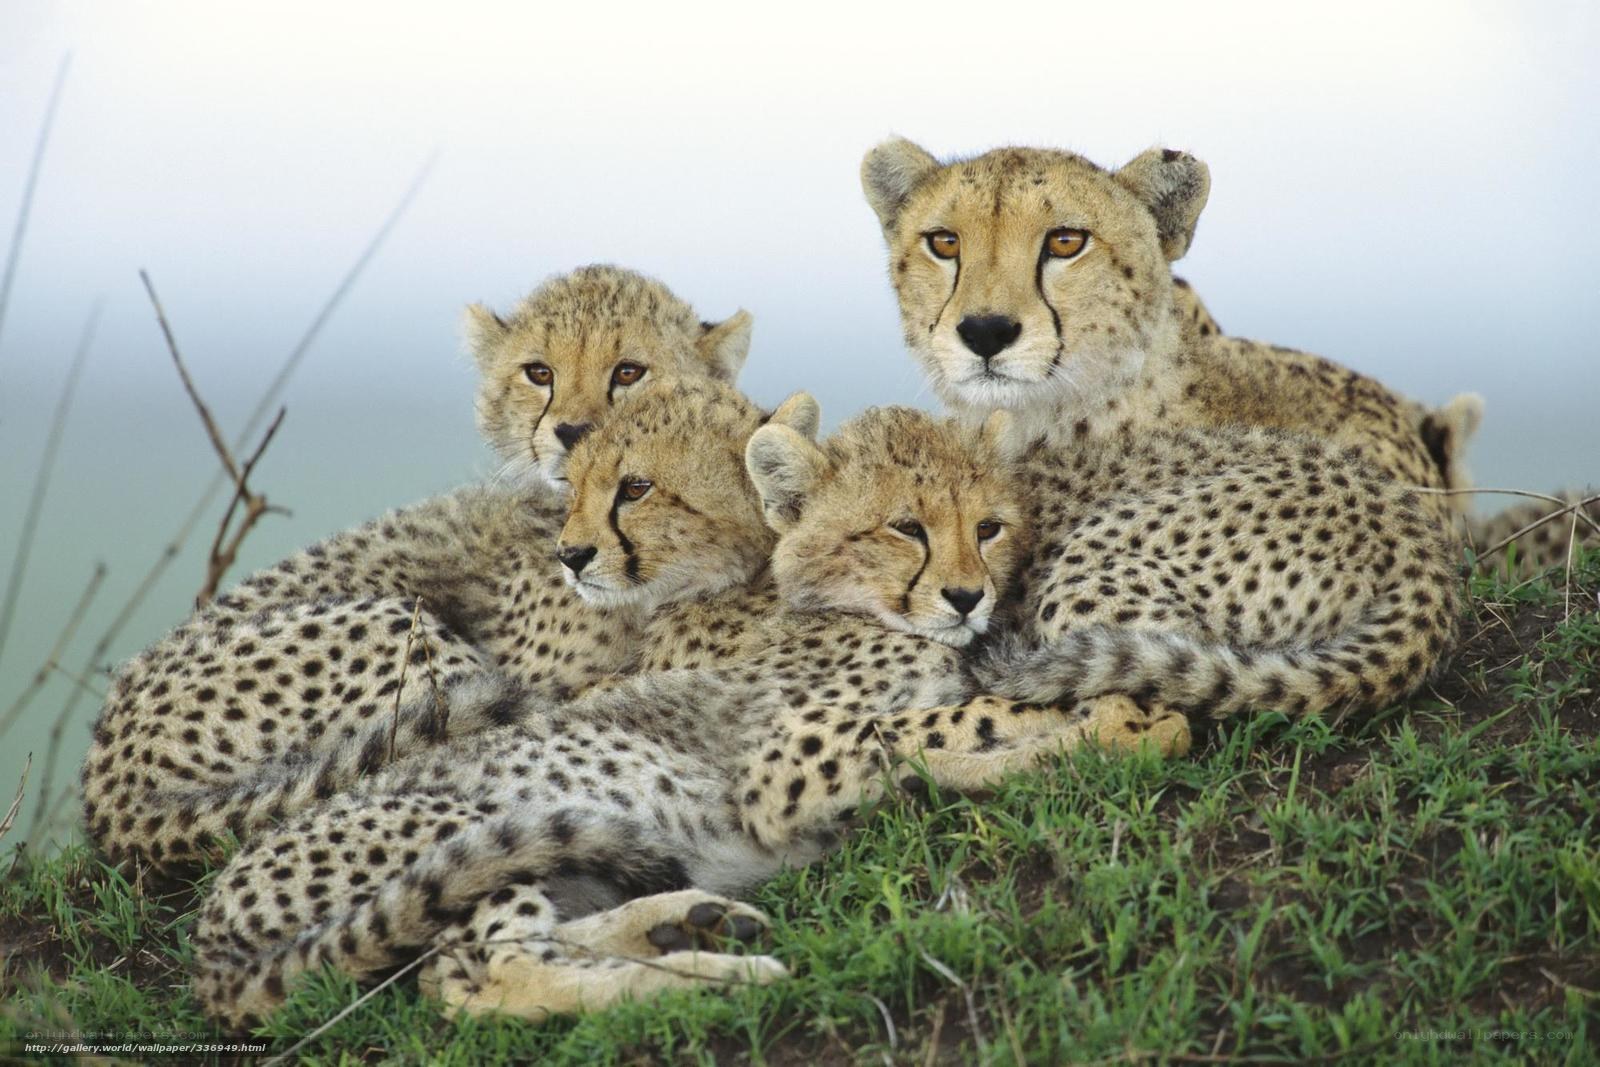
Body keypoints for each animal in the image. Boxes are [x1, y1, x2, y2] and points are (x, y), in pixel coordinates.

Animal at [190, 388, 1188, 1029]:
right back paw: (719, 979)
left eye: (989, 526)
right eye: (906, 527)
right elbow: (946, 724)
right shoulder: (785, 771)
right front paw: (1124, 721)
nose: (968, 596)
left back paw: (688, 921)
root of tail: (211, 920)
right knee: (496, 977)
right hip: (468, 829)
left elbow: (952, 728)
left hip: (551, 861)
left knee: (493, 960)